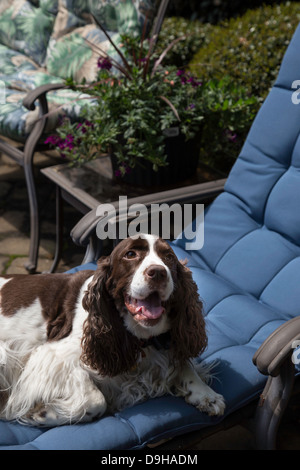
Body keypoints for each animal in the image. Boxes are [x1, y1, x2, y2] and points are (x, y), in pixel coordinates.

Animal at [0, 234, 225, 426]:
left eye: (168, 256)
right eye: (130, 254)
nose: (158, 272)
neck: (141, 339)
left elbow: (184, 364)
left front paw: (206, 394)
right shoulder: (53, 356)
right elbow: (96, 400)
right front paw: (41, 413)